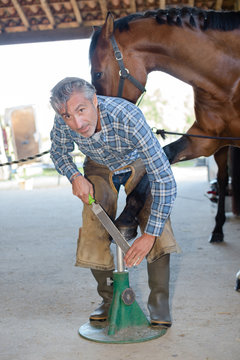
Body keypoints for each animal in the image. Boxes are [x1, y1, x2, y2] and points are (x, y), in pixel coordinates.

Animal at [89, 8, 240, 243]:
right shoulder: (205, 139)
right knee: (223, 180)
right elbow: (166, 155)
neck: (228, 75)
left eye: (97, 73)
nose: (98, 127)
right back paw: (217, 229)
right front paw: (126, 218)